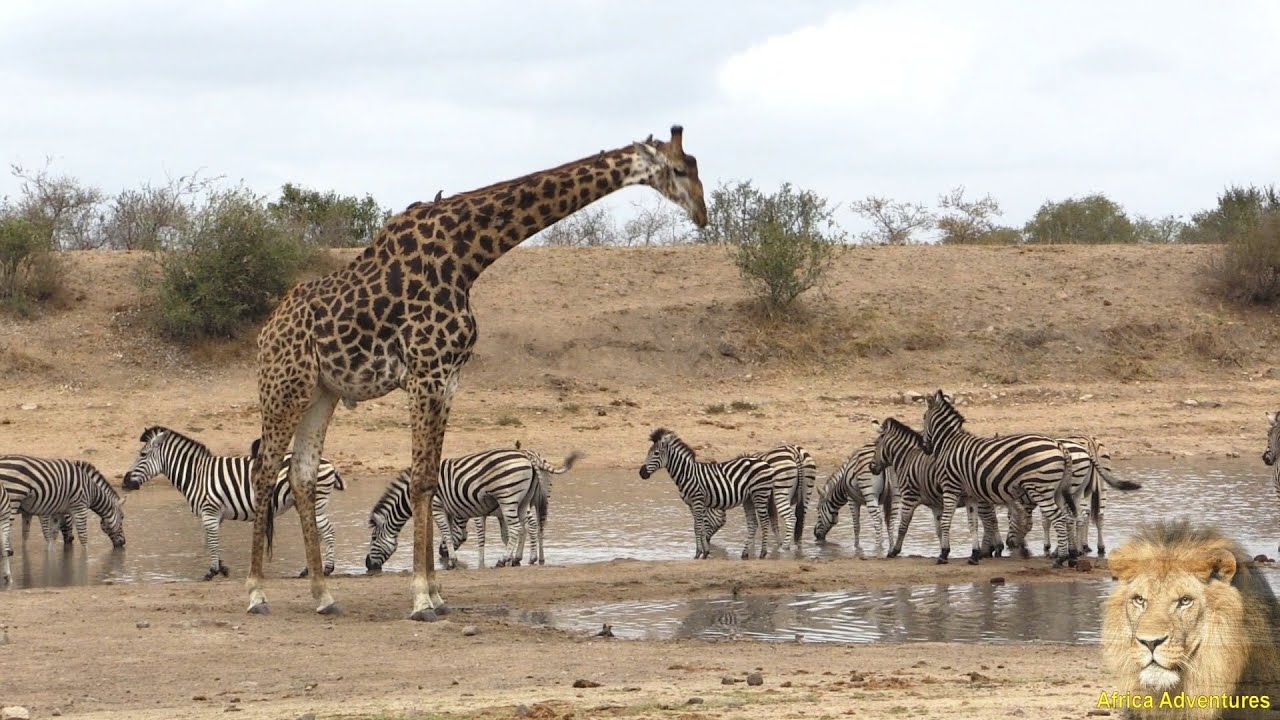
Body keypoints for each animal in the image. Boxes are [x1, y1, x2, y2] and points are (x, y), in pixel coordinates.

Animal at [120, 425, 345, 576]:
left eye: (142, 454)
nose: (124, 482)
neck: (196, 474)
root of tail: (329, 463)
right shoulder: (215, 514)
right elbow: (212, 540)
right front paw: (221, 567)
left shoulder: (209, 511)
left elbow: (212, 540)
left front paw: (212, 571)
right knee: (316, 532)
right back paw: (310, 569)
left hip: (315, 502)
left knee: (328, 531)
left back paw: (327, 569)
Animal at [366, 443, 576, 571]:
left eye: (374, 538)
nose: (367, 564)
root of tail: (529, 458)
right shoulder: (452, 508)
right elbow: (452, 533)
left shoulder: (437, 506)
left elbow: (447, 533)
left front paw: (451, 561)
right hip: (524, 500)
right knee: (530, 526)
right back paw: (523, 558)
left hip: (508, 497)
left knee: (519, 527)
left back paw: (505, 560)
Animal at [637, 425, 773, 561]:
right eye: (648, 452)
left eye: (656, 453)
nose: (641, 473)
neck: (686, 474)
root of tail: (765, 463)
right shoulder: (692, 504)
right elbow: (700, 527)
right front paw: (705, 552)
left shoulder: (697, 500)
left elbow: (697, 527)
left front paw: (698, 553)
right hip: (748, 498)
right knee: (753, 523)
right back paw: (745, 554)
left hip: (760, 494)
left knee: (765, 522)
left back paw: (763, 553)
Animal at [921, 389, 1080, 563]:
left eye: (923, 417)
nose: (925, 448)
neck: (948, 443)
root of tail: (1059, 445)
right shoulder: (969, 495)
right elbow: (973, 524)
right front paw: (974, 555)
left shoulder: (950, 487)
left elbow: (945, 521)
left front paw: (943, 554)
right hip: (1057, 490)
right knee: (1068, 518)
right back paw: (1071, 557)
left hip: (1040, 489)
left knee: (1059, 518)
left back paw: (1061, 559)